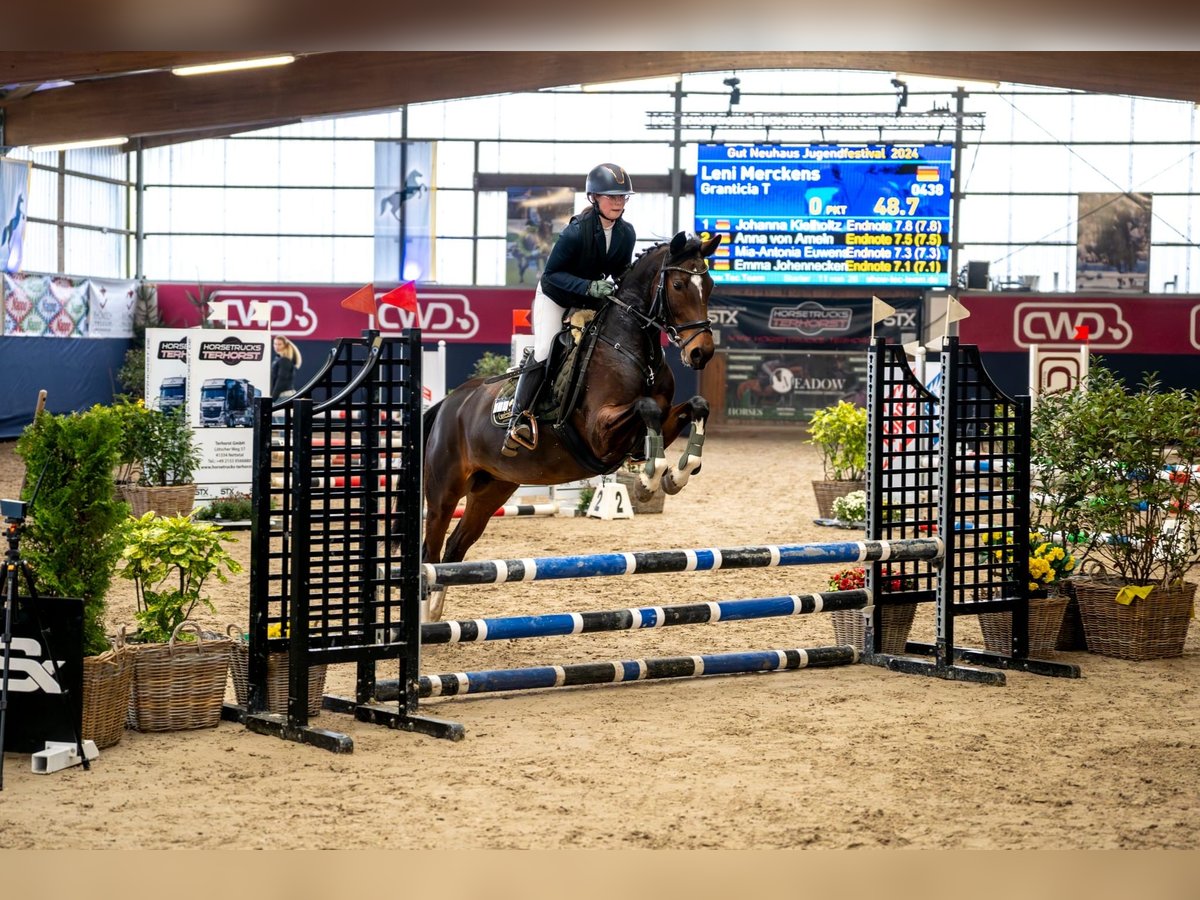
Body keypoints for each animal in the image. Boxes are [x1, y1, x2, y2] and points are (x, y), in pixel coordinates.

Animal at [422, 230, 720, 619]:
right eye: (680, 284)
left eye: (710, 285)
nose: (702, 353)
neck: (629, 346)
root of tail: (448, 404)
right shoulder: (600, 433)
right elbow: (647, 407)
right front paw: (647, 480)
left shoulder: (657, 422)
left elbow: (696, 406)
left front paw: (677, 475)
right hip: (444, 491)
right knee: (431, 550)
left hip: (492, 488)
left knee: (455, 548)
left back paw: (434, 614)